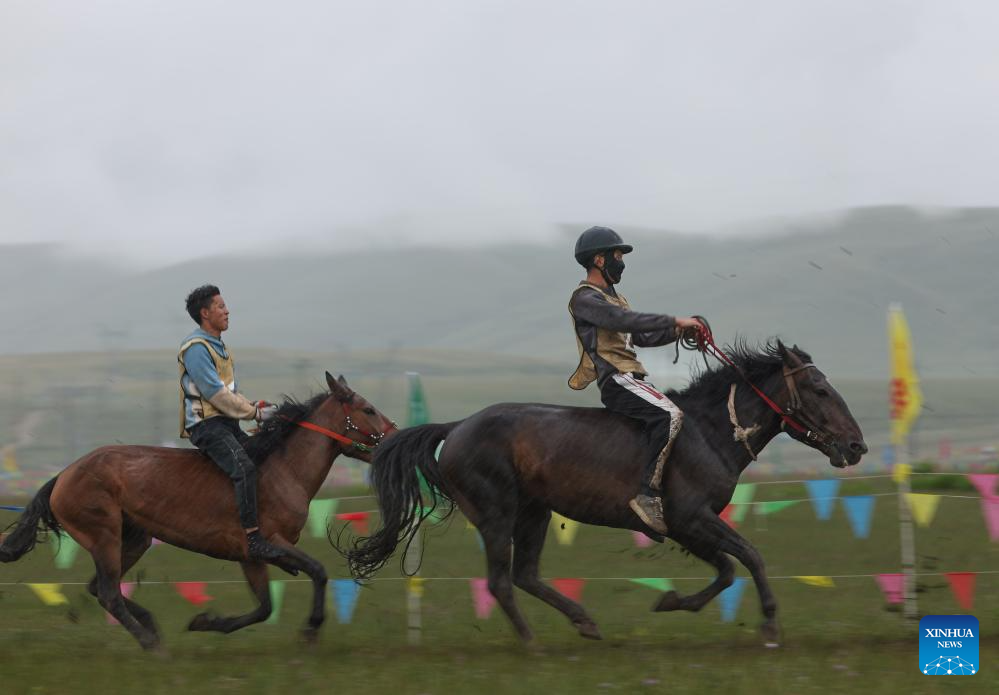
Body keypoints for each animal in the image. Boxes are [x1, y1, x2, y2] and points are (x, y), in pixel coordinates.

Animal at [0, 376, 394, 652]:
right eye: (368, 409)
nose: (394, 436)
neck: (282, 471)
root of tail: (64, 476)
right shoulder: (268, 544)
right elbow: (317, 571)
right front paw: (311, 628)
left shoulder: (251, 558)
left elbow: (265, 607)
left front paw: (204, 621)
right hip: (104, 536)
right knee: (109, 592)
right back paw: (151, 643)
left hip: (134, 539)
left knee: (99, 588)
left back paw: (152, 626)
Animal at [344, 342, 868, 648]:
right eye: (819, 389)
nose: (856, 446)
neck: (709, 431)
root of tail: (456, 428)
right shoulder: (692, 518)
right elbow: (751, 557)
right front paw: (771, 625)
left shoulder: (688, 527)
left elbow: (725, 570)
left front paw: (671, 602)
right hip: (497, 513)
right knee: (500, 582)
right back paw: (531, 642)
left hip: (534, 513)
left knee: (525, 575)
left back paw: (584, 622)